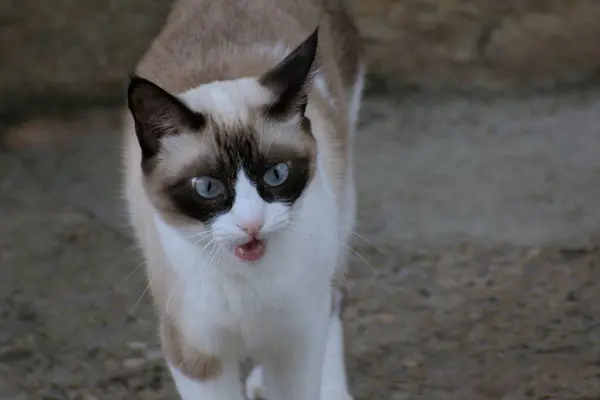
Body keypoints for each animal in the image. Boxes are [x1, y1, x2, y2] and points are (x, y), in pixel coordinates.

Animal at [122, 0, 364, 400]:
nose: (252, 223)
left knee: (334, 302)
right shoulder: (197, 355)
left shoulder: (296, 346)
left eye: (276, 175)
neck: (249, 283)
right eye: (207, 187)